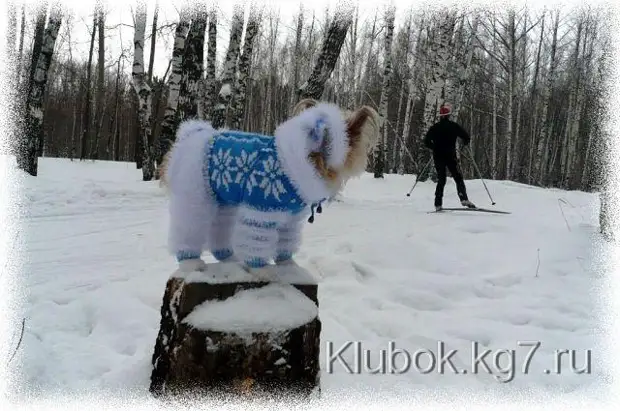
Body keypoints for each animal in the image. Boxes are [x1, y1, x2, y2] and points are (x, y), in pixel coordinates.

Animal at [157, 98, 380, 276]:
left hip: (224, 202)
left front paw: (288, 265)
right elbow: (257, 243)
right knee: (188, 228)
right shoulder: (261, 213)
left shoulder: (291, 220)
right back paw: (191, 262)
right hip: (195, 197)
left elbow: (285, 245)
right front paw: (261, 270)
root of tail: (190, 136)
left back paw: (228, 257)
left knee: (219, 231)